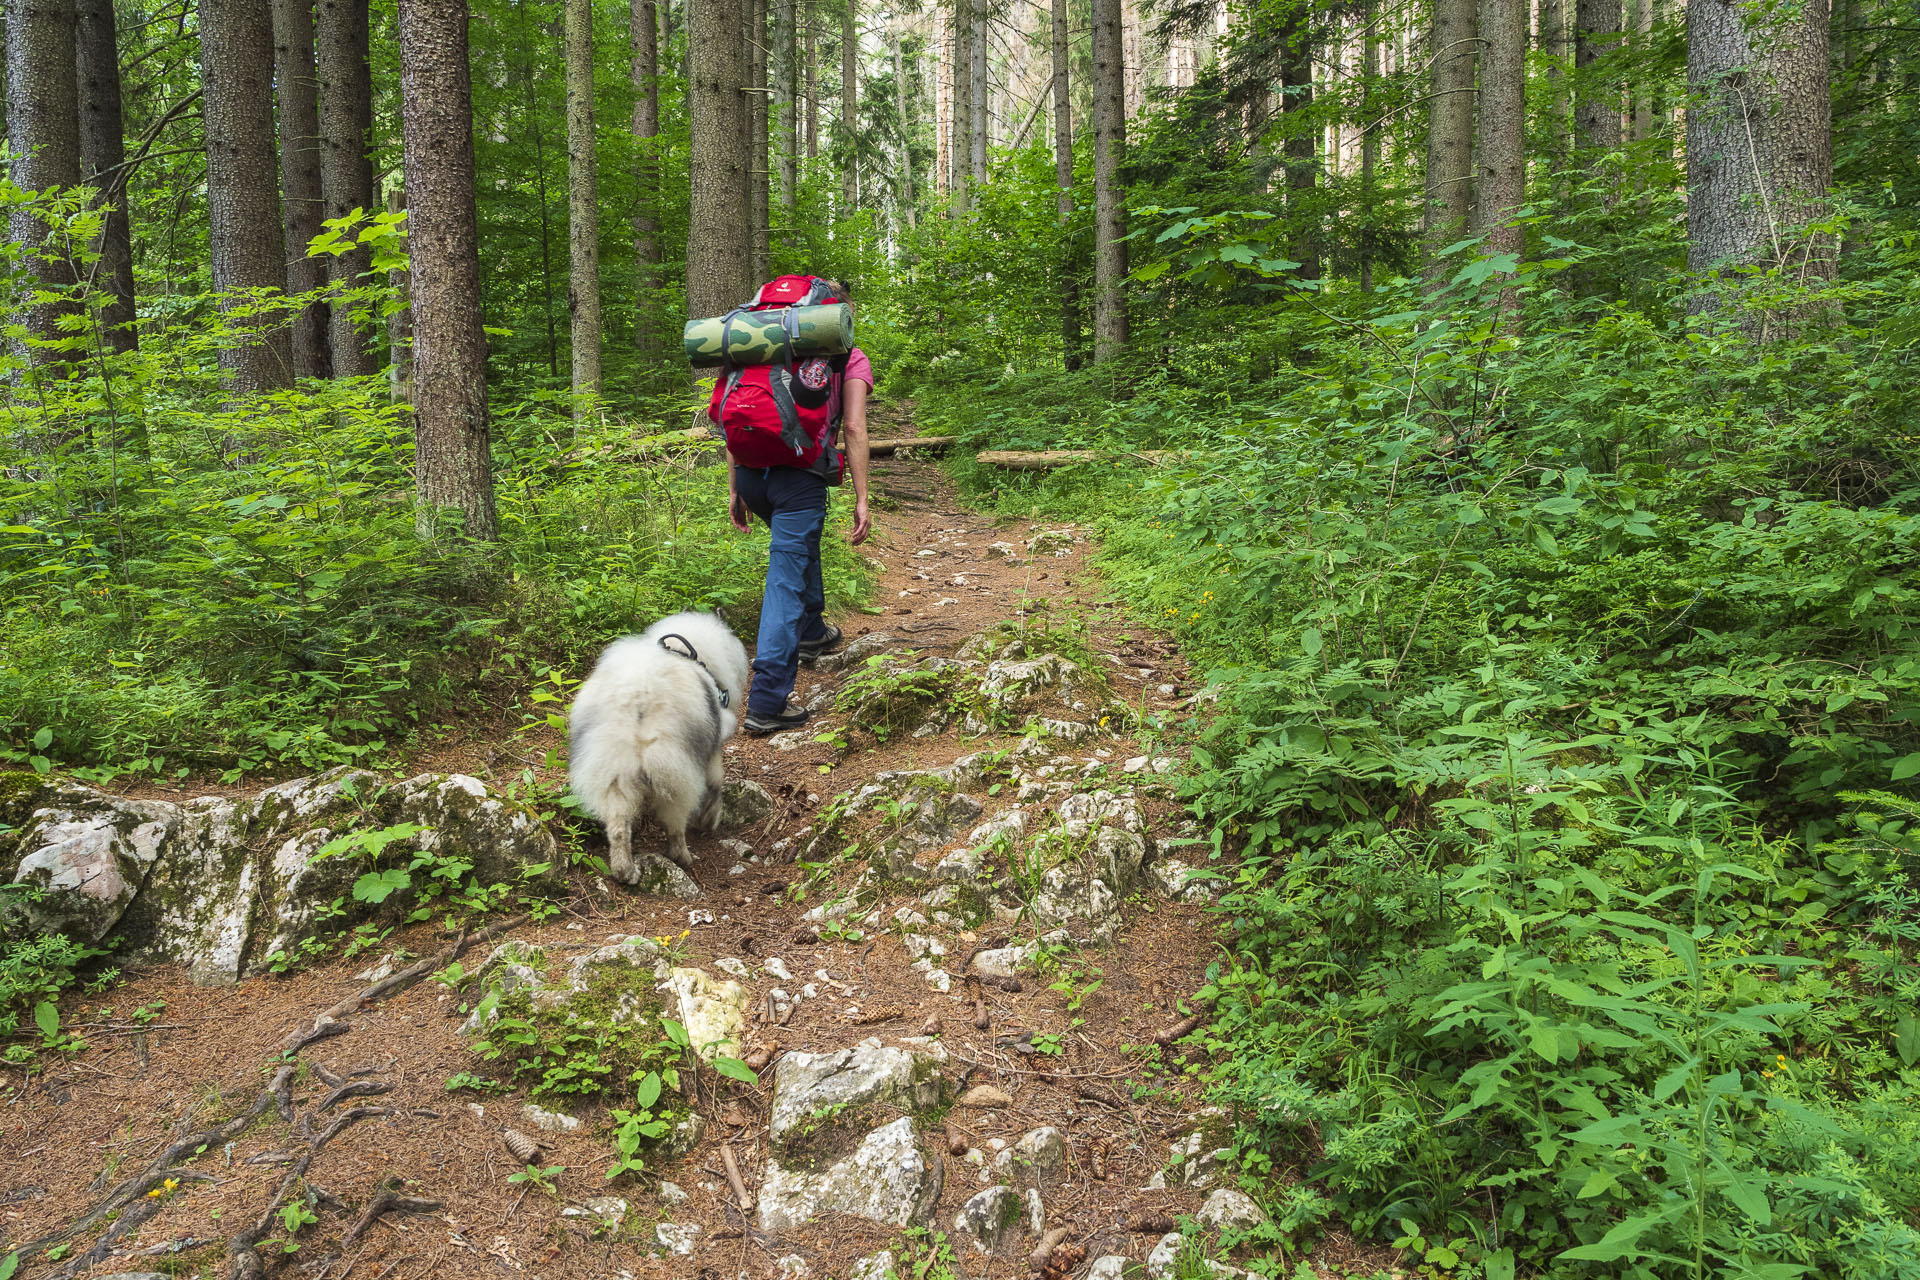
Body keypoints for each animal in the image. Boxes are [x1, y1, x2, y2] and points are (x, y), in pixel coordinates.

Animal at [564, 614, 744, 886]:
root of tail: (638, 694)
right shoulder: (712, 753)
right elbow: (715, 785)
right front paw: (710, 820)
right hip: (677, 770)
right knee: (675, 824)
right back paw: (683, 857)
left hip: (613, 768)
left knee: (618, 827)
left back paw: (625, 872)